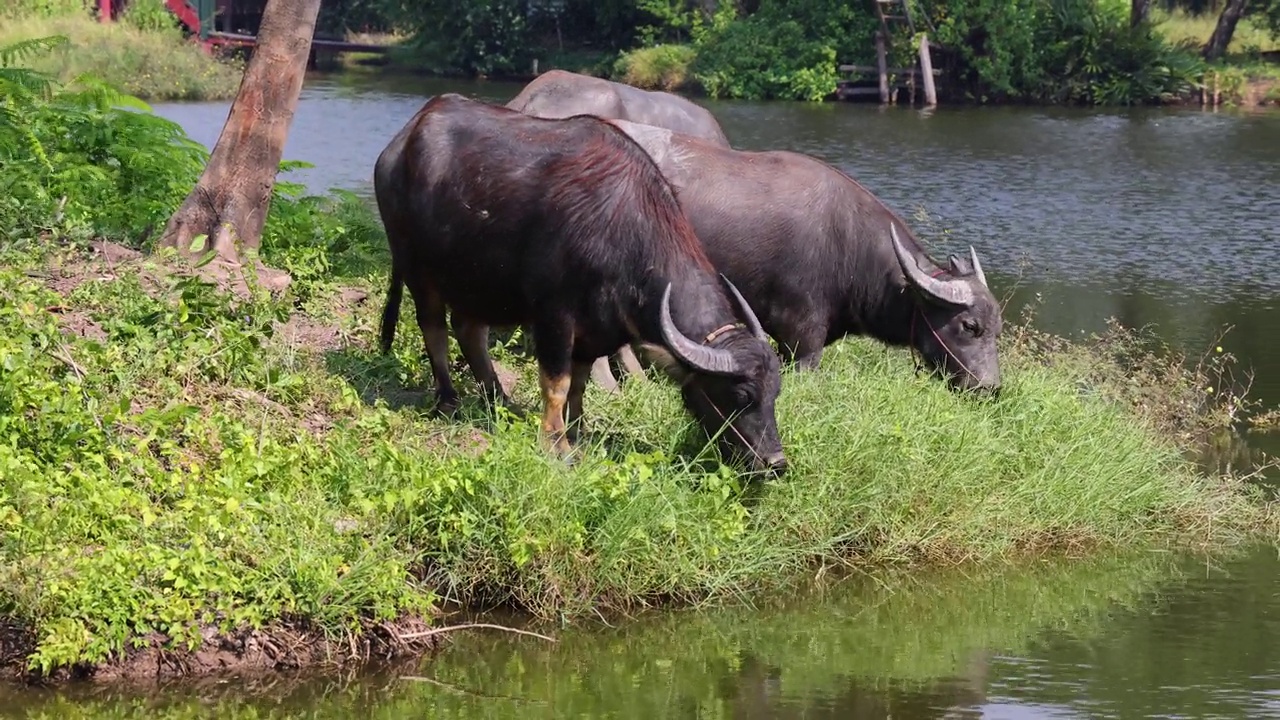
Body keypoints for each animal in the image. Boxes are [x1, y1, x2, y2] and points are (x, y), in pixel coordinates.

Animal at [373, 94, 783, 476]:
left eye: (775, 394)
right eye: (741, 394)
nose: (775, 462)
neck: (619, 229)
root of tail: (399, 144)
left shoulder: (595, 331)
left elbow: (580, 384)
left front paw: (579, 430)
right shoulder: (554, 316)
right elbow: (556, 382)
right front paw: (557, 444)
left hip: (476, 279)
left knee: (469, 330)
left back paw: (499, 400)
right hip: (416, 266)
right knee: (434, 329)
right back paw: (448, 400)